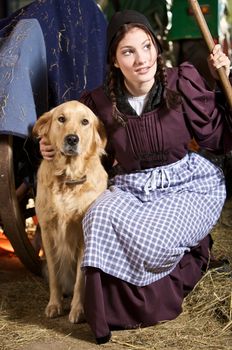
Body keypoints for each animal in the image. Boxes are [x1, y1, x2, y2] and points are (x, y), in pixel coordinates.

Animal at [32, 100, 108, 324]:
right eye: (61, 119)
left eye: (85, 121)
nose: (72, 139)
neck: (69, 178)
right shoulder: (47, 232)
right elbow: (55, 276)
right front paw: (54, 304)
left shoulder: (84, 235)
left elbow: (80, 280)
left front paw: (78, 310)